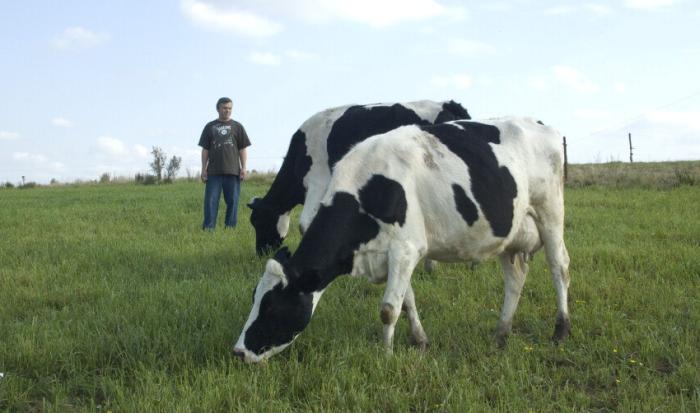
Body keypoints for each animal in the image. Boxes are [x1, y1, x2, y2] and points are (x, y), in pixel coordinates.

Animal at [235, 115, 568, 360]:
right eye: (253, 296)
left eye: (272, 306)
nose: (239, 352)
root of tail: (541, 123)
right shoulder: (392, 254)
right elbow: (406, 302)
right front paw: (419, 340)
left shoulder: (406, 248)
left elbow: (388, 310)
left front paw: (386, 356)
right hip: (511, 233)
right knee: (515, 279)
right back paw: (500, 334)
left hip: (550, 211)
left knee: (559, 267)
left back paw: (560, 329)